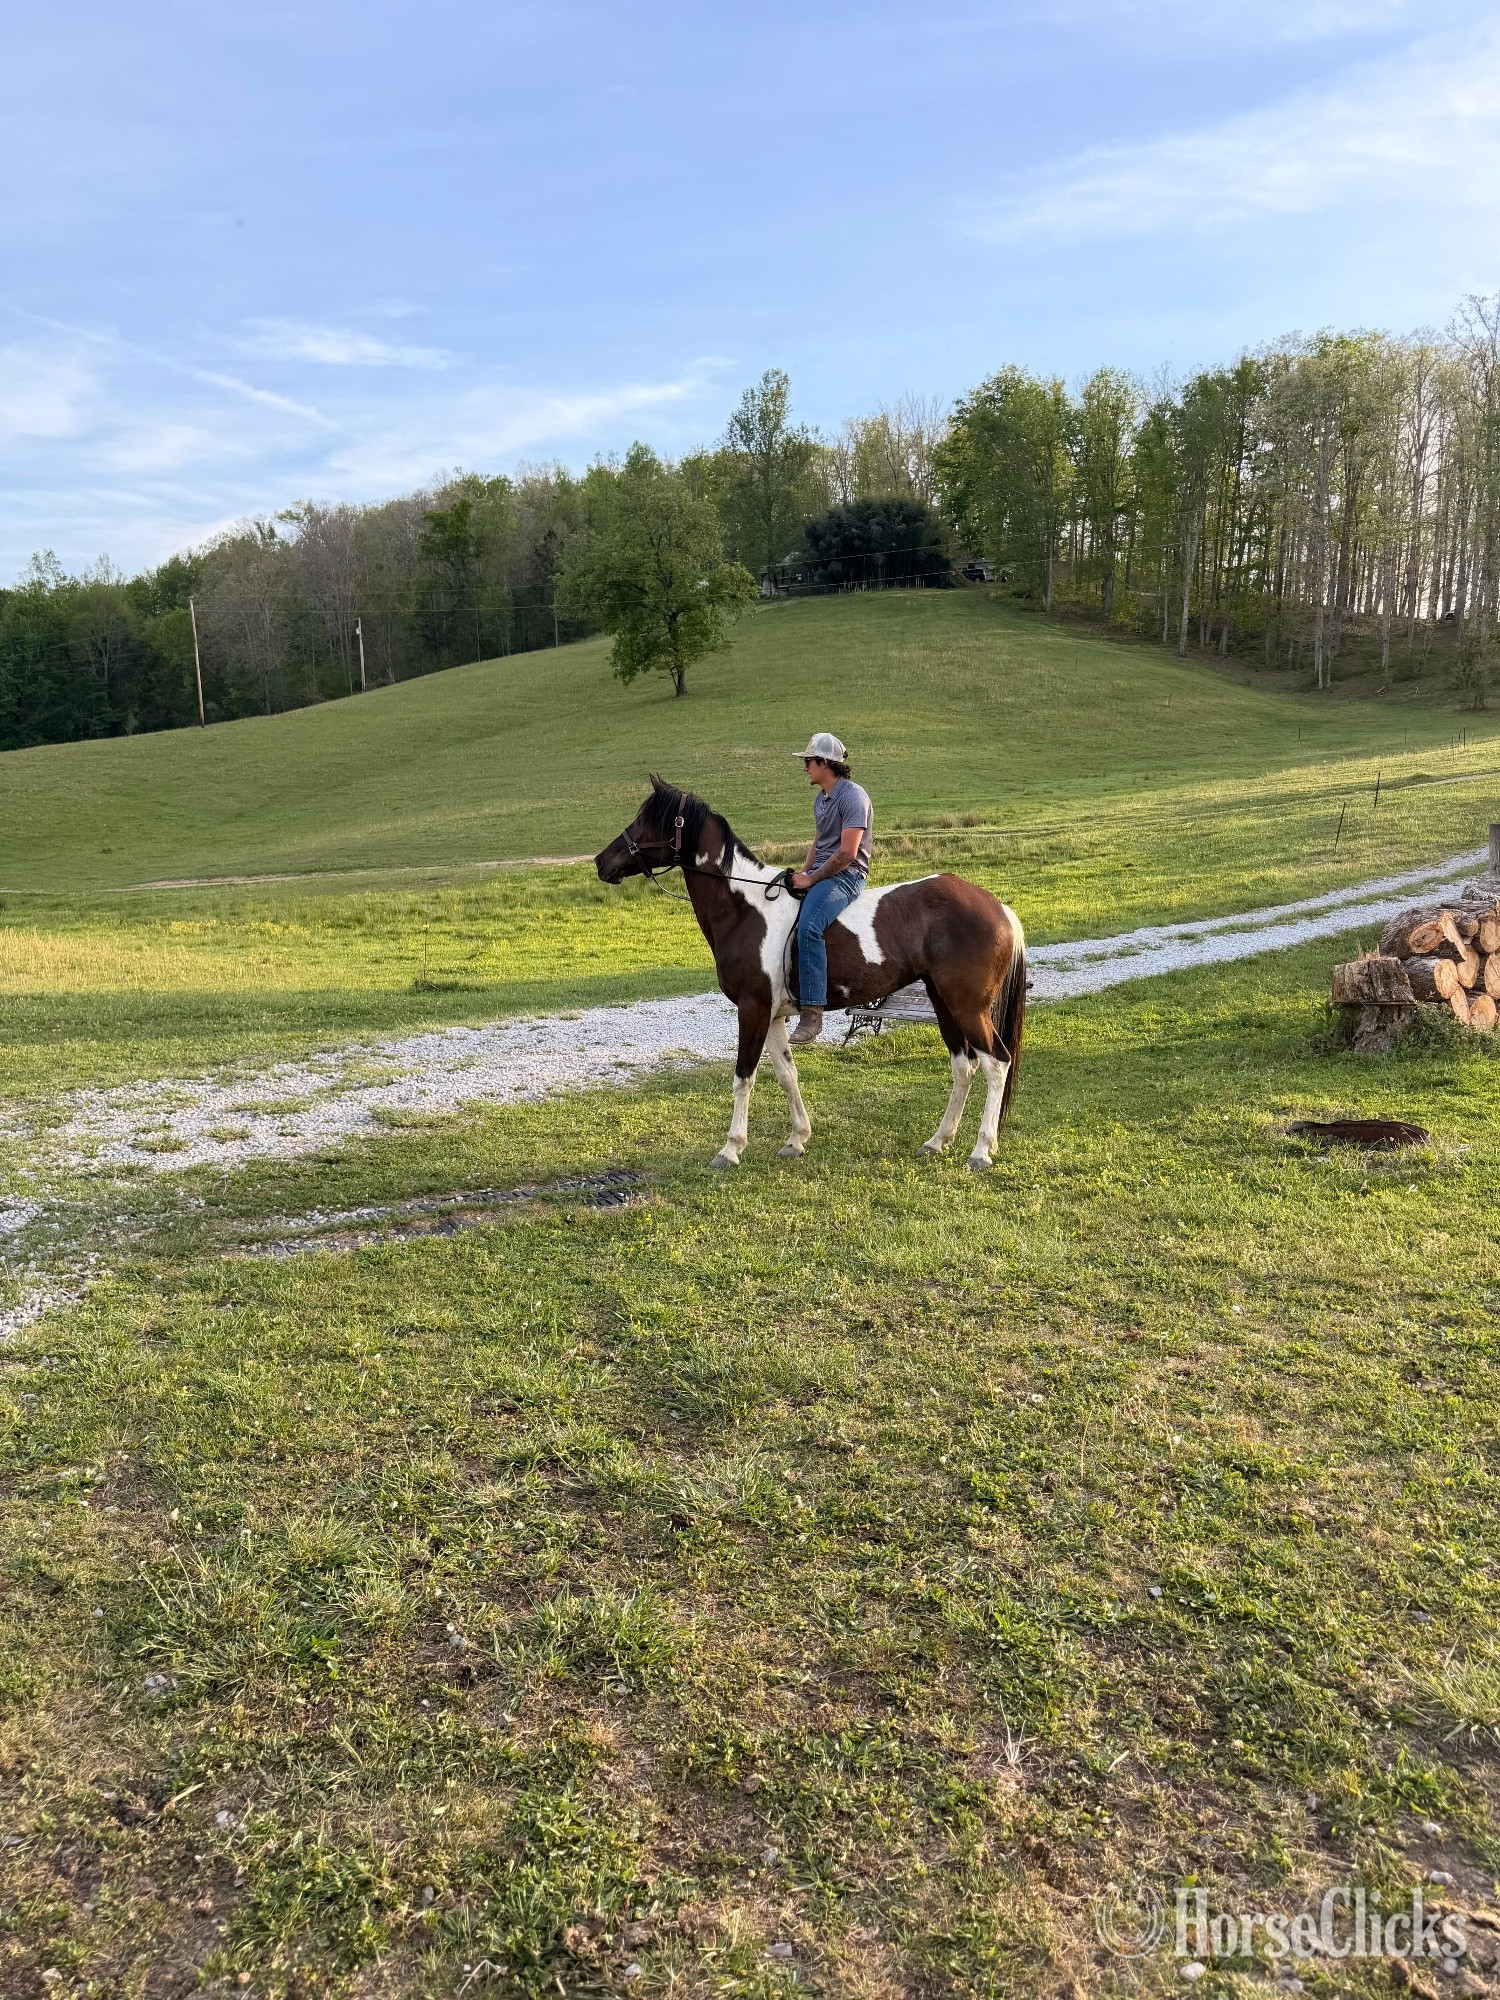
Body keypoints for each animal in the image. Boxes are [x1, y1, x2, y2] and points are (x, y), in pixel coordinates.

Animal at [595, 778, 1026, 1171]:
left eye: (647, 820)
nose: (601, 862)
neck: (745, 908)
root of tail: (998, 908)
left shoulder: (752, 1009)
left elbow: (743, 1076)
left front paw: (731, 1148)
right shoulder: (772, 1015)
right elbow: (787, 1074)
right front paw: (796, 1139)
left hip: (967, 1007)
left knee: (995, 1063)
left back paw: (981, 1150)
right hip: (943, 1003)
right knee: (964, 1065)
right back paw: (938, 1141)